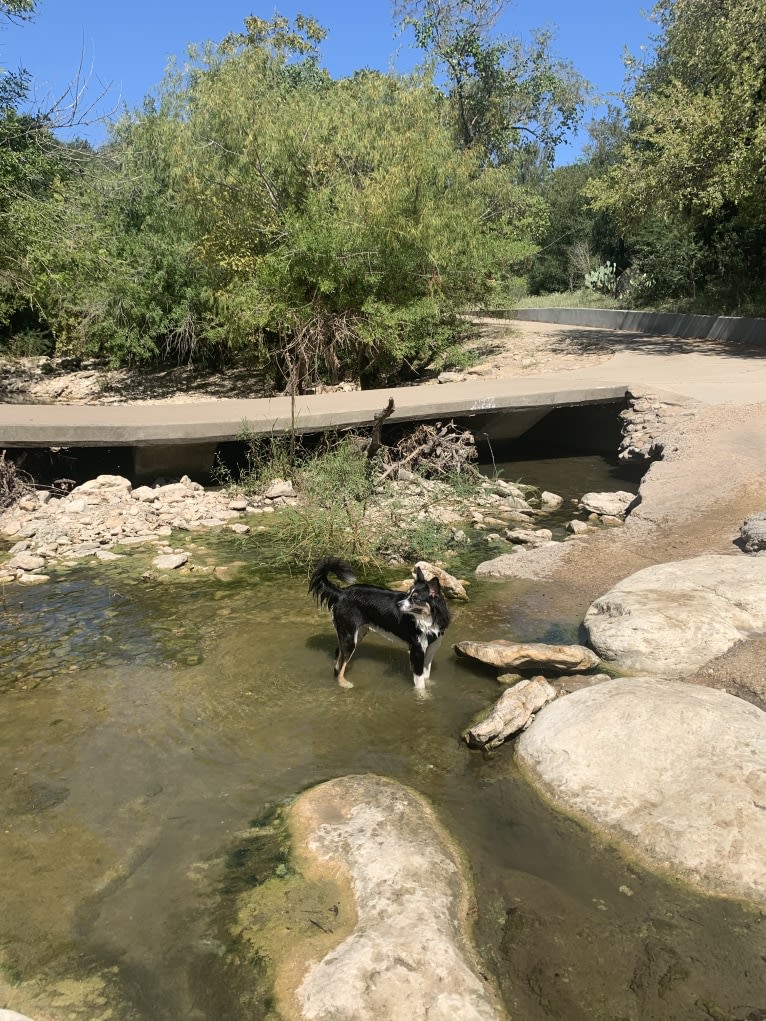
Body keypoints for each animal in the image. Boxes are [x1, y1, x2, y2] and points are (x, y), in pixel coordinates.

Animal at [308, 559, 453, 694]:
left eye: (415, 598)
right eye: (408, 594)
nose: (397, 604)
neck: (428, 619)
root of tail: (341, 593)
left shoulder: (431, 649)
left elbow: (426, 676)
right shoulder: (417, 651)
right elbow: (420, 683)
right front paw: (423, 697)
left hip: (357, 634)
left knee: (338, 658)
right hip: (349, 637)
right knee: (340, 663)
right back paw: (344, 683)